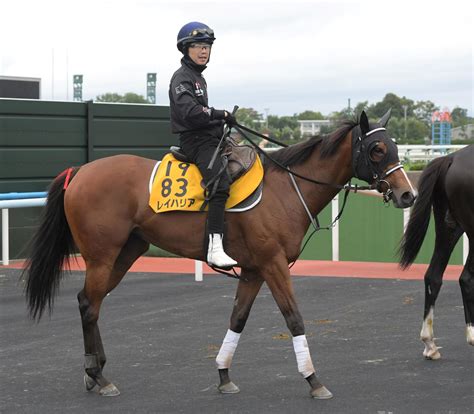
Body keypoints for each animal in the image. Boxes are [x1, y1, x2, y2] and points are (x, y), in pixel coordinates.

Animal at [23, 110, 414, 398]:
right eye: (377, 149)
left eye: (396, 146)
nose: (407, 194)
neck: (286, 188)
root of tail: (80, 171)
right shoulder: (273, 265)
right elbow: (294, 319)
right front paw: (313, 380)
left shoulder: (255, 270)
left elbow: (237, 318)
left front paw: (224, 374)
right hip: (103, 256)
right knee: (90, 305)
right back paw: (98, 376)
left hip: (126, 253)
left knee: (90, 302)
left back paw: (96, 371)